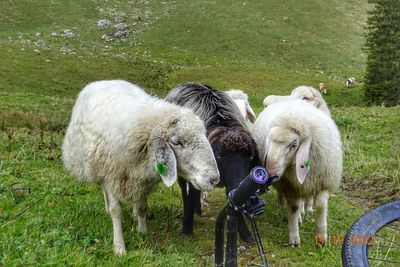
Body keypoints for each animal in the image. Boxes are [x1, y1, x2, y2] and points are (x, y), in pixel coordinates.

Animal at [61, 79, 222, 255]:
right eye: (177, 142)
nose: (214, 179)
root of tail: (105, 81)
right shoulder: (112, 174)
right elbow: (116, 210)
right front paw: (119, 247)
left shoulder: (142, 178)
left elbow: (142, 207)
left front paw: (142, 232)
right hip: (97, 165)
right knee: (104, 190)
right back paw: (107, 208)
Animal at [165, 83, 260, 243]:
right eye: (219, 156)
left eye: (250, 156)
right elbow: (191, 194)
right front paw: (187, 230)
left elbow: (232, 198)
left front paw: (245, 234)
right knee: (185, 191)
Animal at [255, 99, 342, 248]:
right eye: (269, 141)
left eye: (294, 145)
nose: (270, 172)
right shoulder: (290, 186)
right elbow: (294, 208)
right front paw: (294, 239)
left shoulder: (324, 181)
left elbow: (321, 206)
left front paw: (322, 237)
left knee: (307, 198)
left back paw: (307, 209)